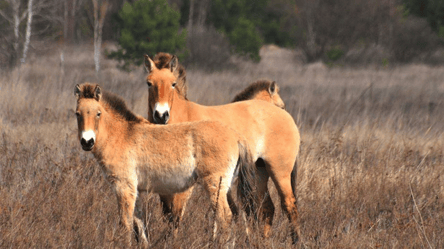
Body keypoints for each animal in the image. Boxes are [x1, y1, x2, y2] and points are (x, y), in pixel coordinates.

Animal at [73, 82, 253, 245]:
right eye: (77, 114)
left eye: (98, 113)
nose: (87, 142)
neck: (121, 135)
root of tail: (236, 136)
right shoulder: (135, 190)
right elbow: (139, 225)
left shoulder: (123, 187)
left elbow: (125, 224)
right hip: (226, 187)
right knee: (234, 215)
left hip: (215, 185)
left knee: (225, 217)